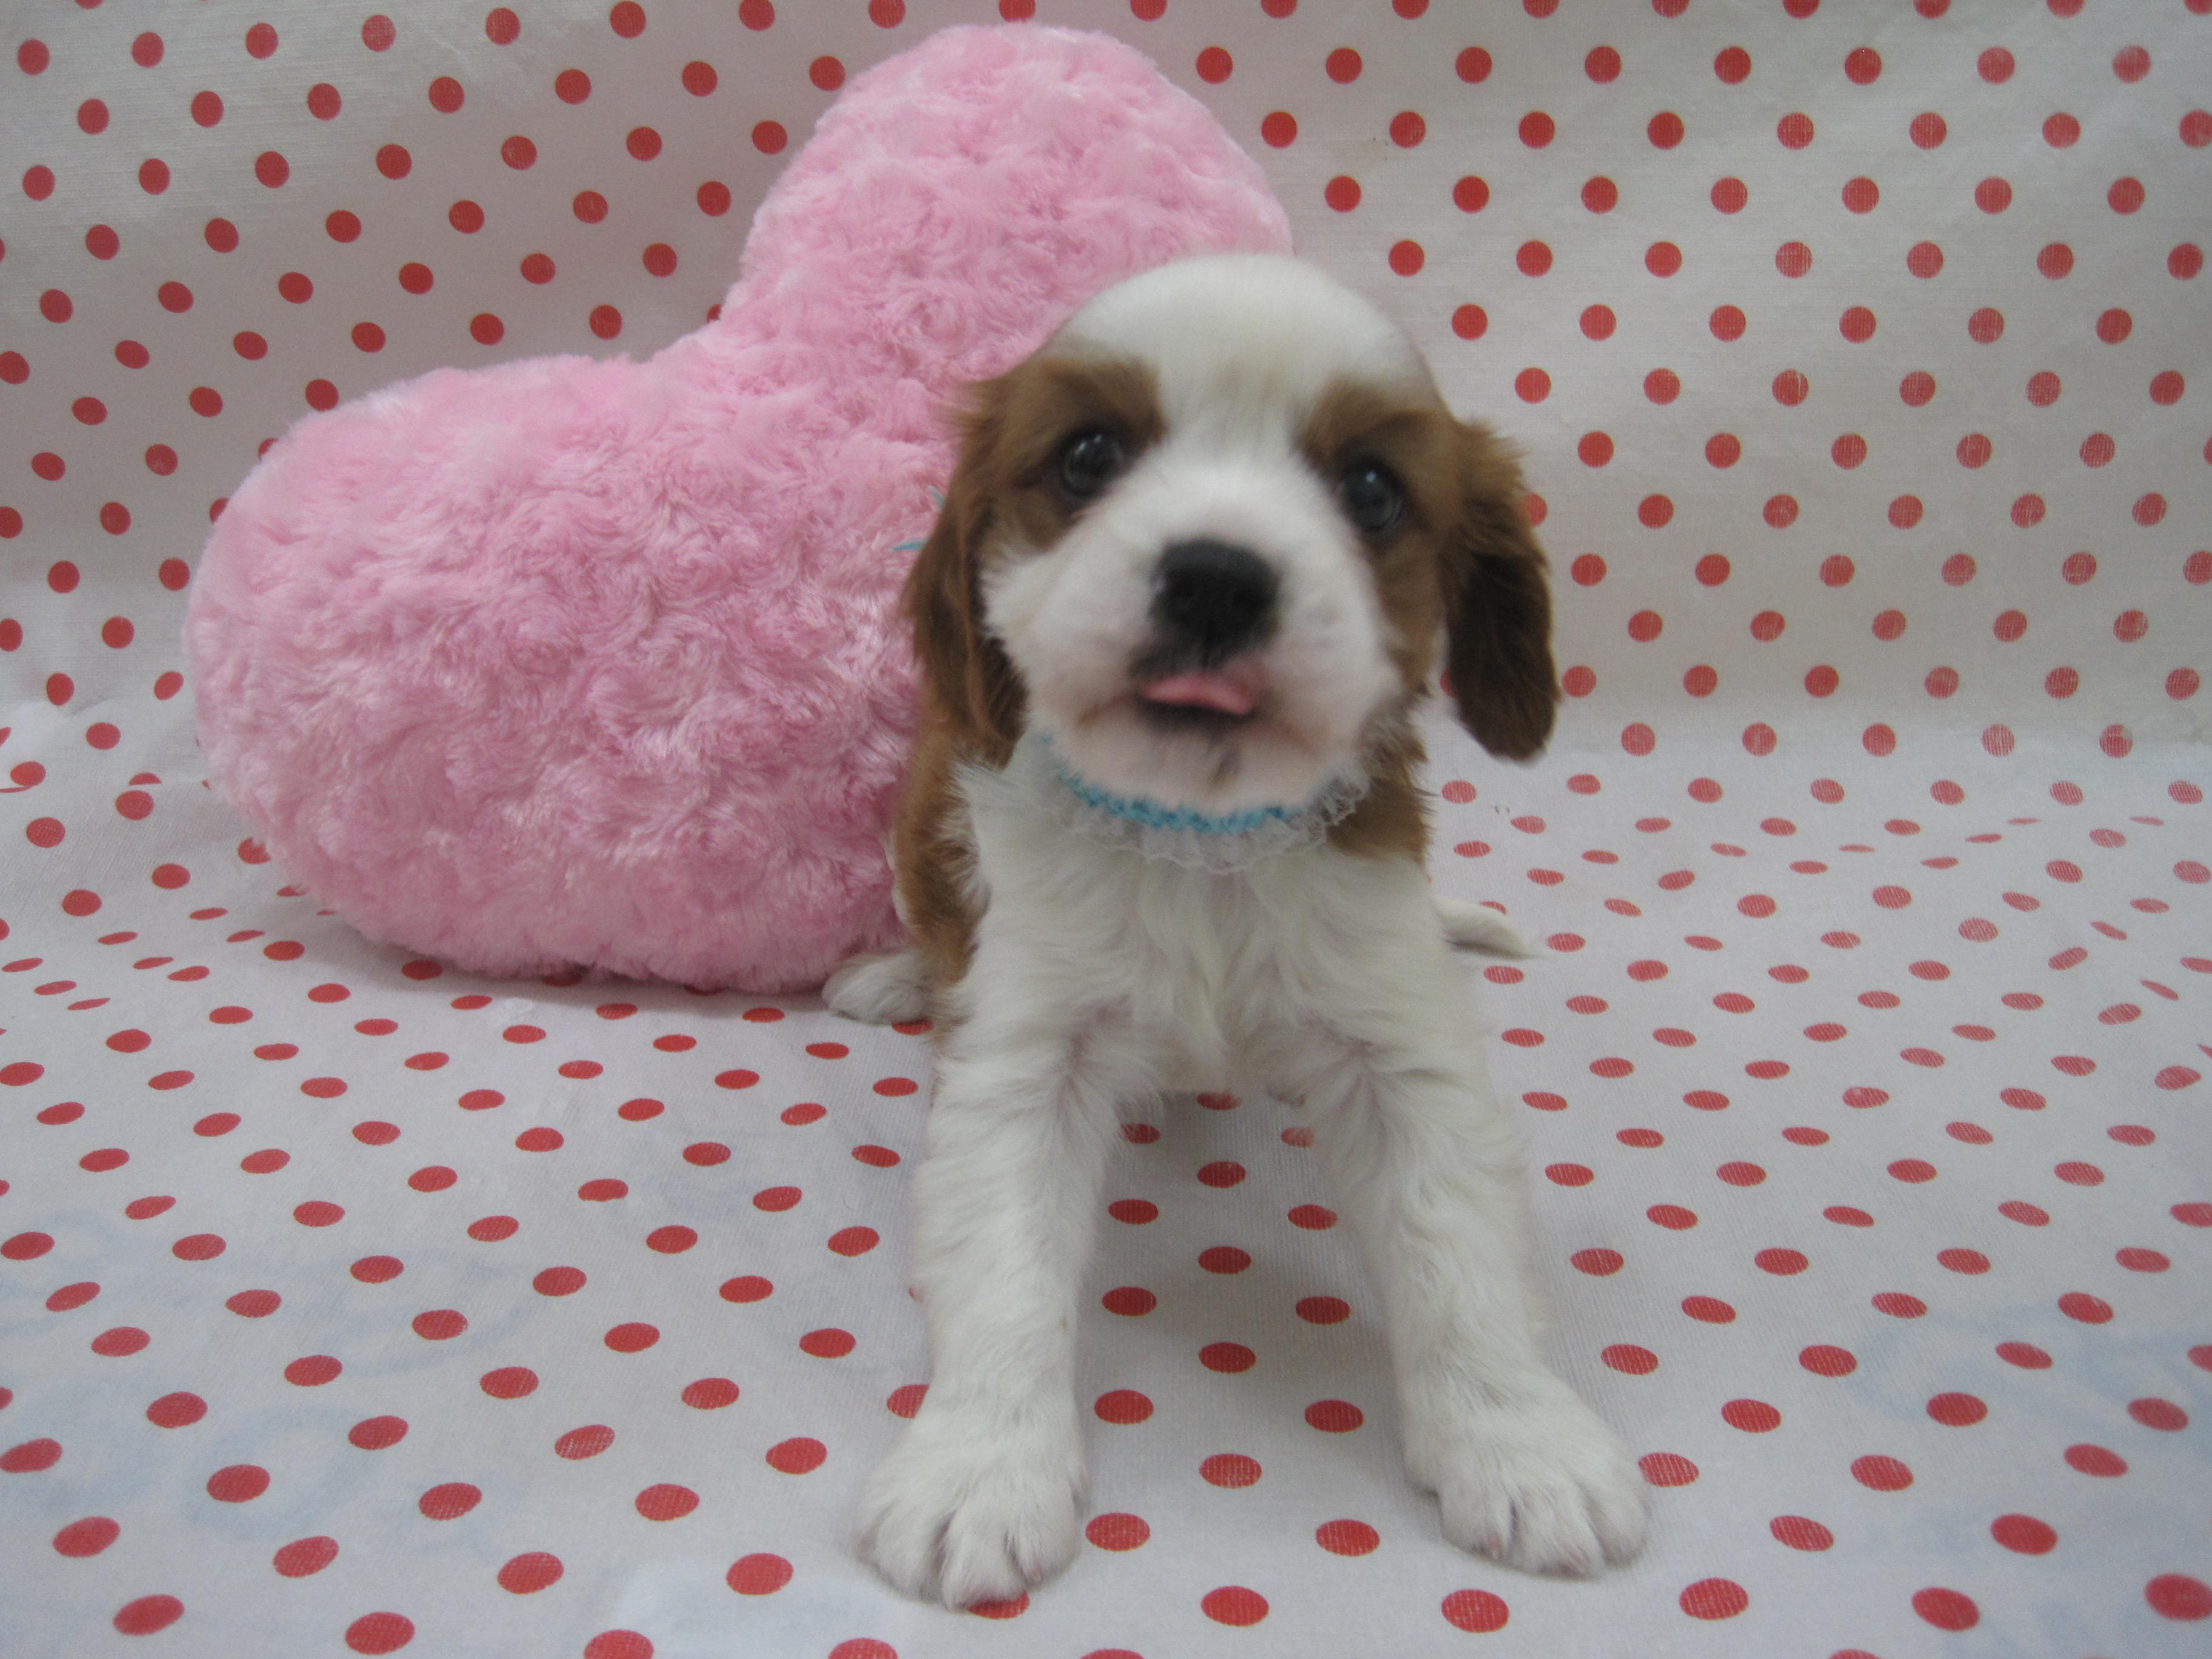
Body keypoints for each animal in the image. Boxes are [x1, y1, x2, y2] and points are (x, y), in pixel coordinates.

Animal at [825, 253, 1647, 1607]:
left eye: (1370, 487)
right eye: (1089, 456)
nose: (1215, 575)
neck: (1200, 838)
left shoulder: (1398, 1050)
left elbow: (1457, 1254)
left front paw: (1521, 1440)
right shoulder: (1025, 1052)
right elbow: (1004, 1261)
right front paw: (979, 1467)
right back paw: (899, 976)